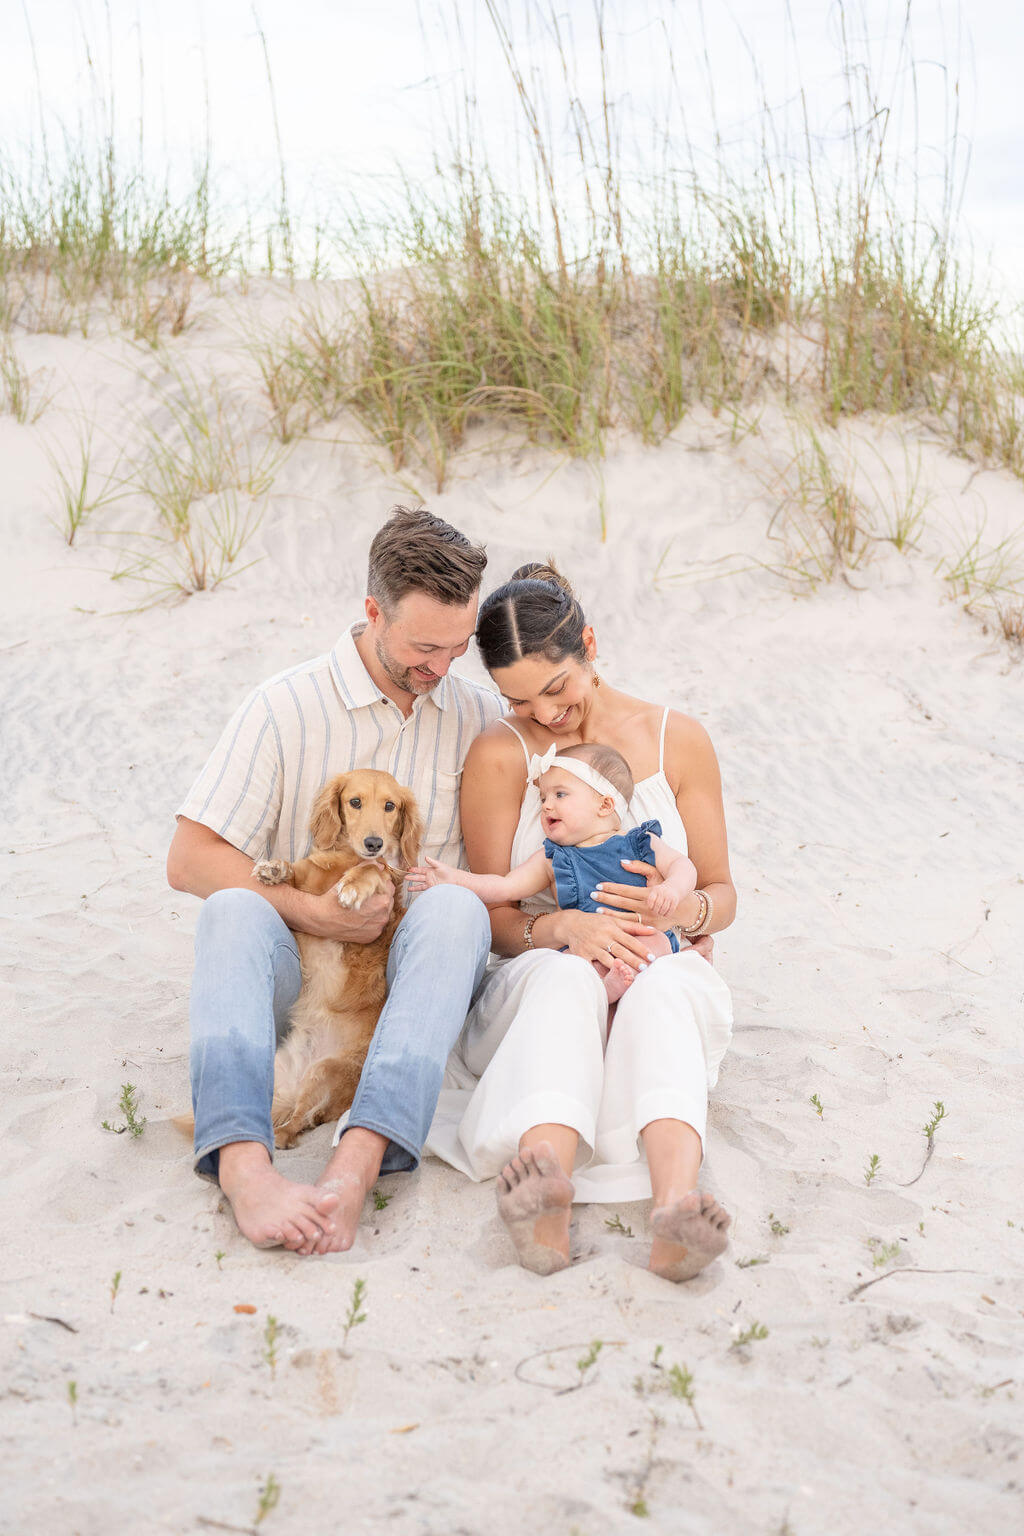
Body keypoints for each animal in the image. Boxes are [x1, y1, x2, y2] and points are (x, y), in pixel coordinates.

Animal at [251, 768, 423, 1155]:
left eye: (390, 806)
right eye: (354, 801)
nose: (374, 843)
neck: (345, 858)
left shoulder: (383, 881)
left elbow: (373, 871)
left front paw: (354, 885)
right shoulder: (308, 885)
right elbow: (294, 872)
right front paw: (274, 868)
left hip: (324, 1074)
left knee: (297, 1123)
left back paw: (281, 1135)